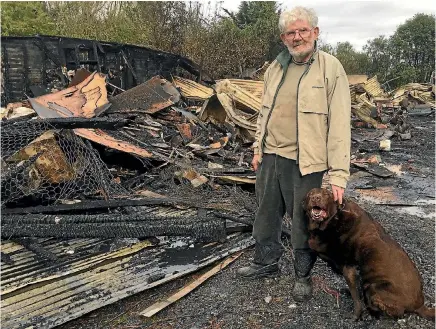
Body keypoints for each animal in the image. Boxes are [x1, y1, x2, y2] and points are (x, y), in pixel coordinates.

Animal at [304, 187, 434, 320]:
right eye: (310, 194)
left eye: (326, 194)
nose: (315, 198)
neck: (334, 219)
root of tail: (420, 305)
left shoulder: (350, 269)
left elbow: (356, 297)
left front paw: (356, 315)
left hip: (374, 287)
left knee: (395, 312)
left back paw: (372, 308)